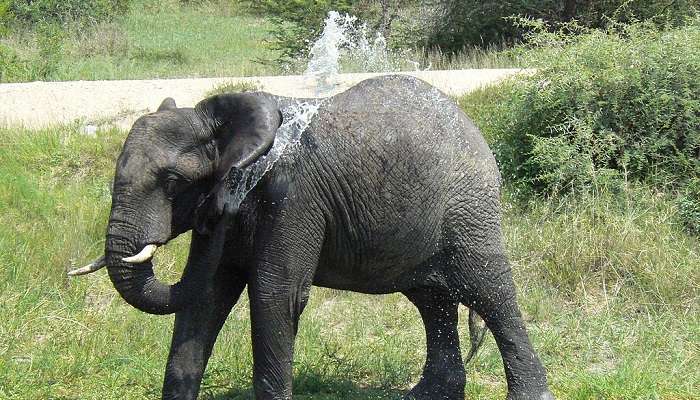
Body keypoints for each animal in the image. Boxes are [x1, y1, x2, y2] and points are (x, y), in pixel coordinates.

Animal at [69, 76, 552, 400]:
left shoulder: (293, 197)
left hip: (469, 205)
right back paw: (425, 396)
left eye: (172, 182)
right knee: (432, 300)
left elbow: (275, 294)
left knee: (488, 291)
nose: (215, 213)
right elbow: (205, 298)